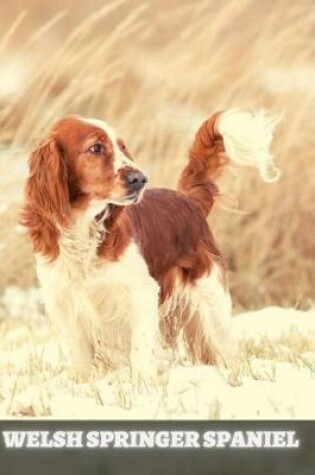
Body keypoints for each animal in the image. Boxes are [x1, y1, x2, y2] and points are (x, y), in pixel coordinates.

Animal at [21, 109, 278, 384]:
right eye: (96, 147)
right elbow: (79, 355)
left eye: (122, 147)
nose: (140, 179)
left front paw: (144, 383)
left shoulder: (141, 293)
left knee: (228, 348)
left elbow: (140, 348)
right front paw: (82, 384)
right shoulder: (63, 300)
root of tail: (188, 199)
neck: (84, 229)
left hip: (212, 297)